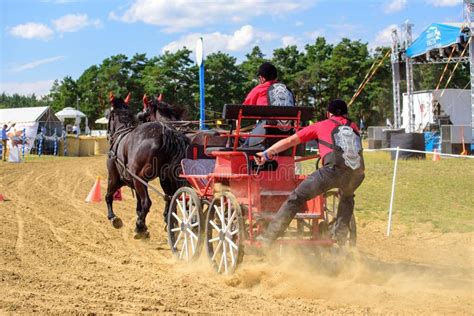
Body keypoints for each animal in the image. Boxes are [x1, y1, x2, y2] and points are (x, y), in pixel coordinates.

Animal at [106, 95, 188, 238]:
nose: (108, 134)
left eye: (108, 116)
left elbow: (108, 196)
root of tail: (166, 133)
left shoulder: (115, 178)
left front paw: (113, 218)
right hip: (166, 178)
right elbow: (139, 206)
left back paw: (139, 228)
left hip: (139, 178)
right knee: (172, 198)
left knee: (147, 202)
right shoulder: (137, 181)